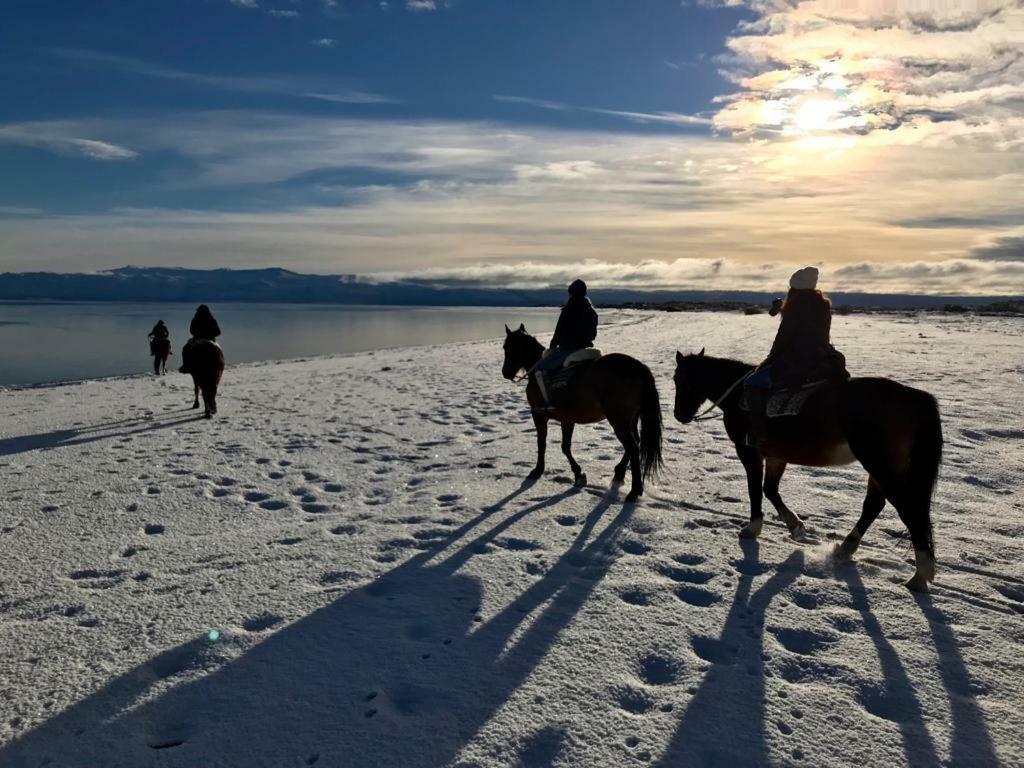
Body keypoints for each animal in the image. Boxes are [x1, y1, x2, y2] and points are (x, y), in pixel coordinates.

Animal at [501, 325, 663, 501]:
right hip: (630, 420)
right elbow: (565, 446)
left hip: (618, 420)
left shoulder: (538, 416)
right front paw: (578, 474)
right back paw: (619, 473)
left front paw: (537, 470)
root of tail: (639, 368)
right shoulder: (567, 419)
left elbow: (542, 443)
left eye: (508, 348)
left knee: (632, 447)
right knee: (635, 443)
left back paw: (634, 491)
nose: (505, 373)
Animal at [671, 352, 942, 593]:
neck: (738, 395)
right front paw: (795, 526)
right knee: (874, 506)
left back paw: (920, 576)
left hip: (880, 466)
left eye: (679, 379)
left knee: (909, 512)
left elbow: (755, 490)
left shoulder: (749, 452)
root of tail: (915, 399)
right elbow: (770, 490)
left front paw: (752, 528)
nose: (679, 415)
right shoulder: (776, 456)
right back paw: (846, 548)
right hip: (880, 469)